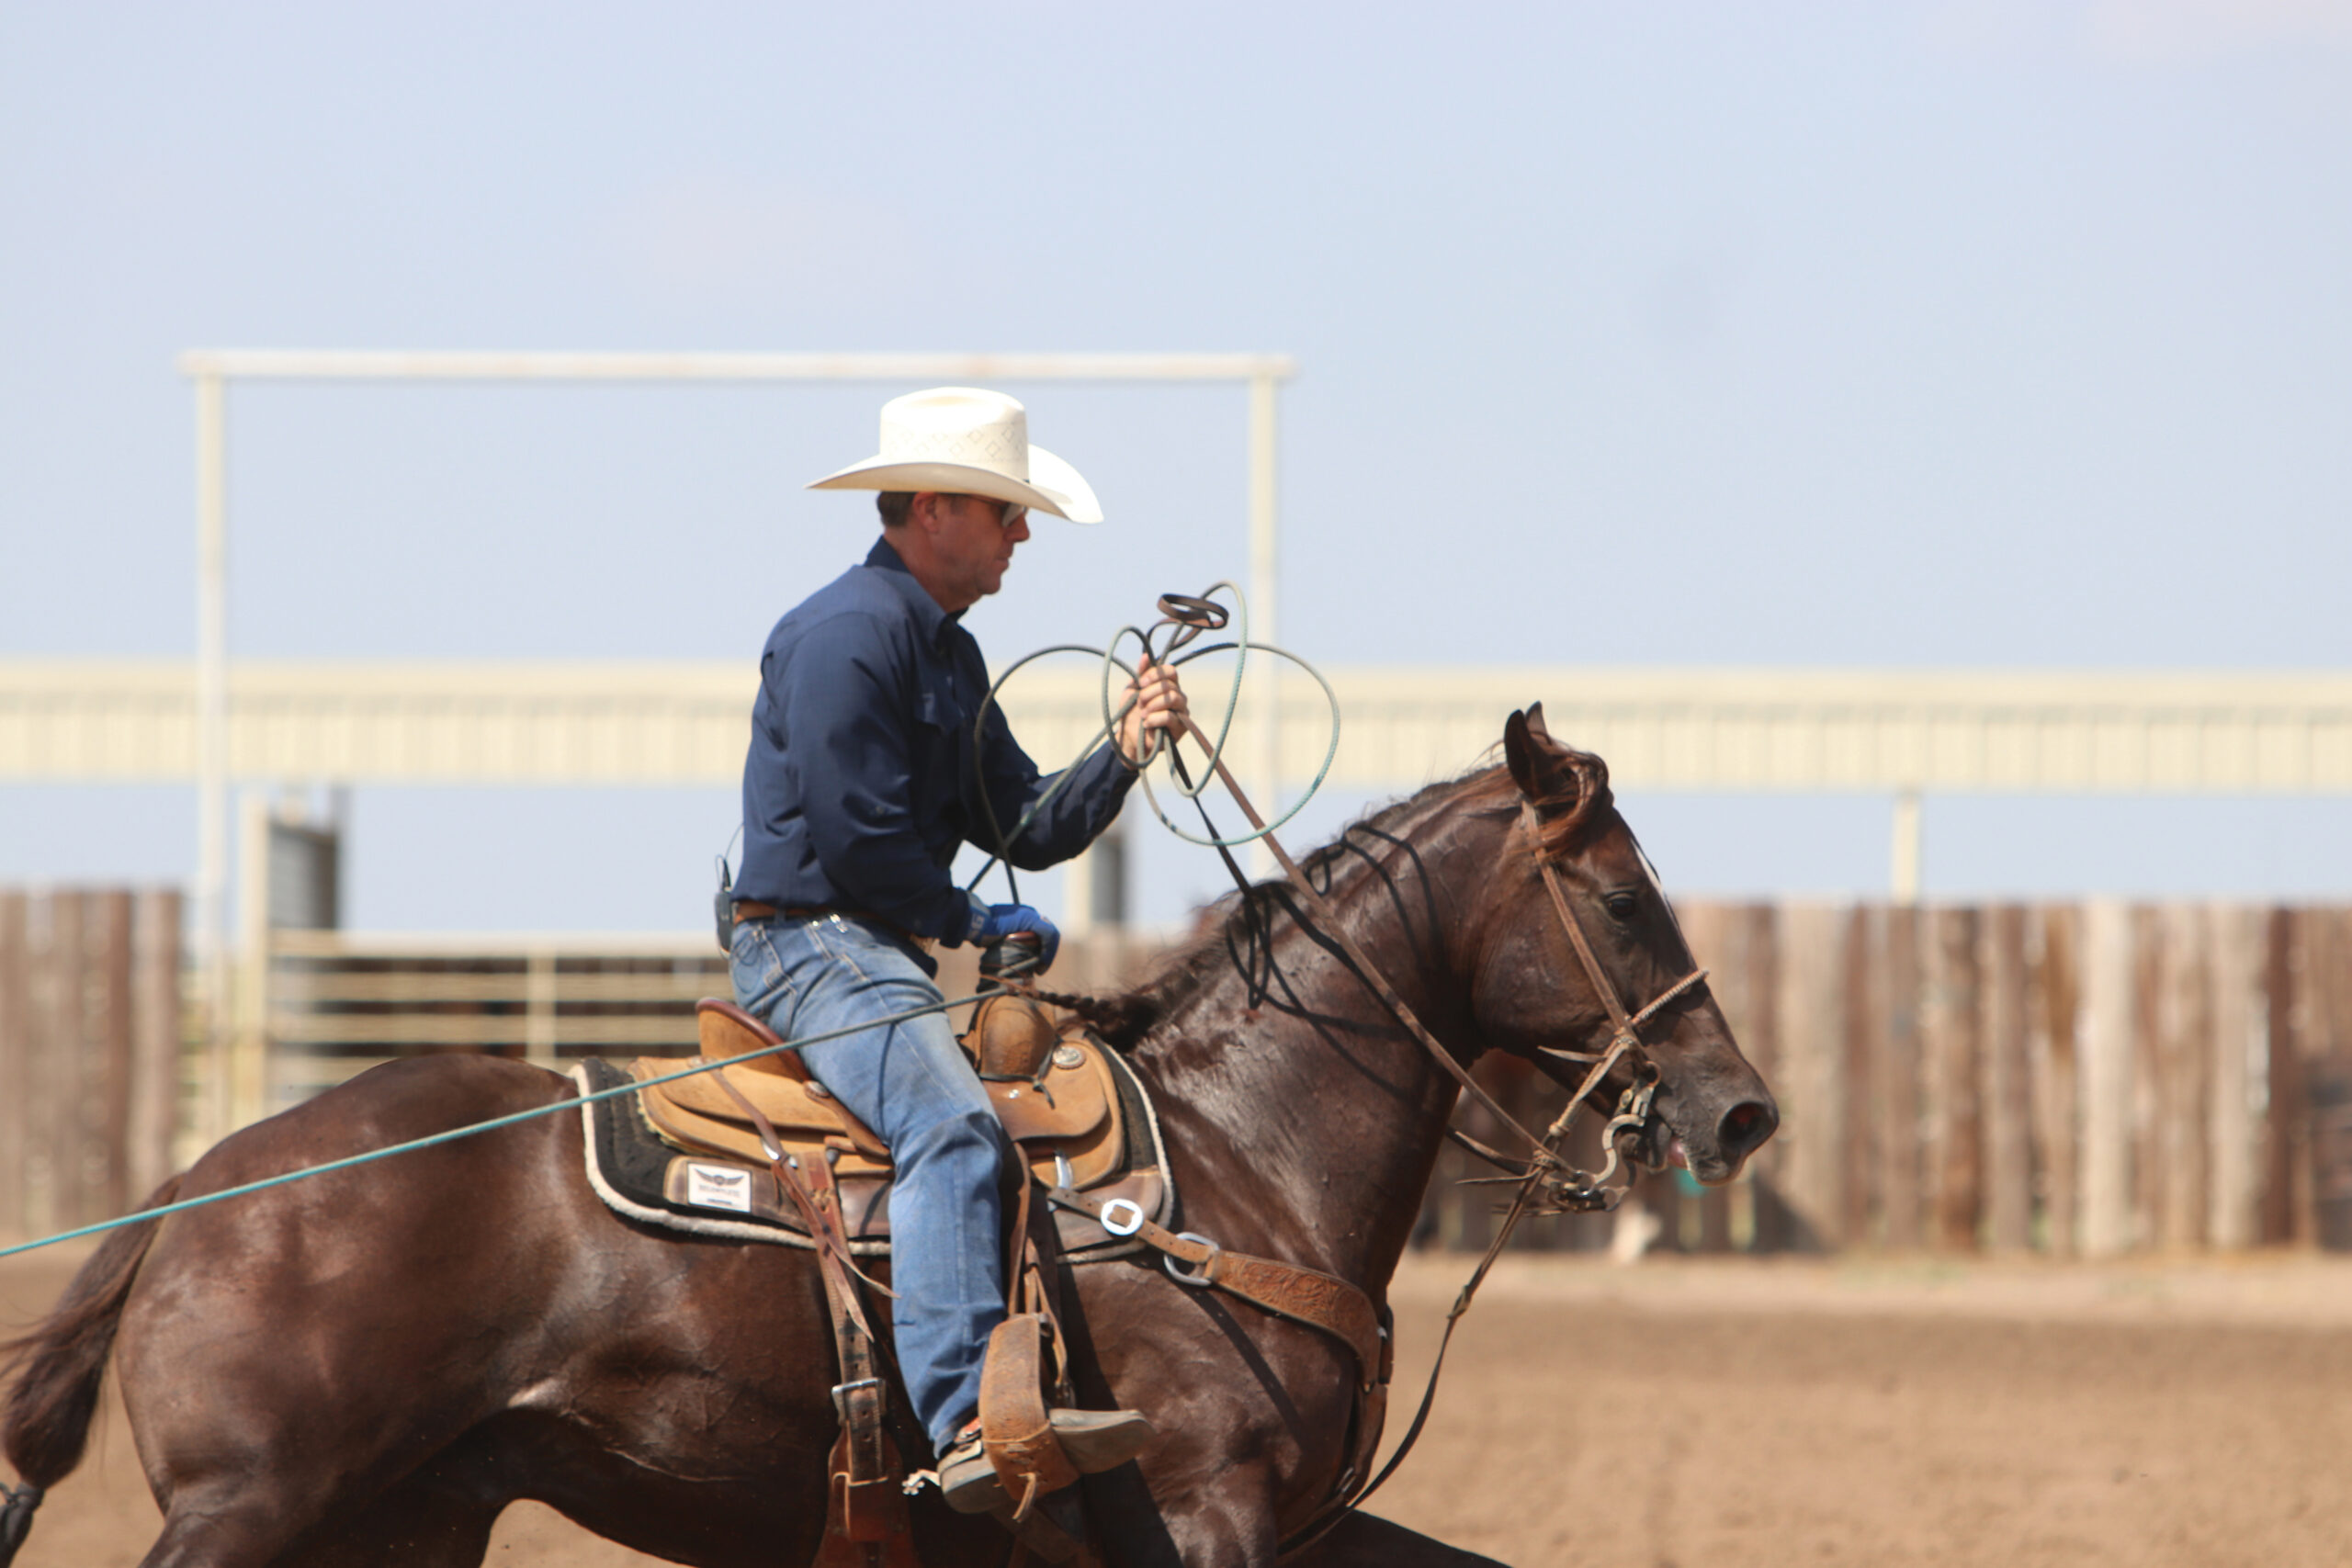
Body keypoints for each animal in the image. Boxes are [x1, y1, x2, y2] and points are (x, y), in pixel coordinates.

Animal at [0, 715, 1769, 1568]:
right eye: (1623, 895)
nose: (1738, 1106)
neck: (1239, 1154)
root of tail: (200, 1186)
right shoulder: (1209, 1509)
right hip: (254, 1502)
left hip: (404, 1517)